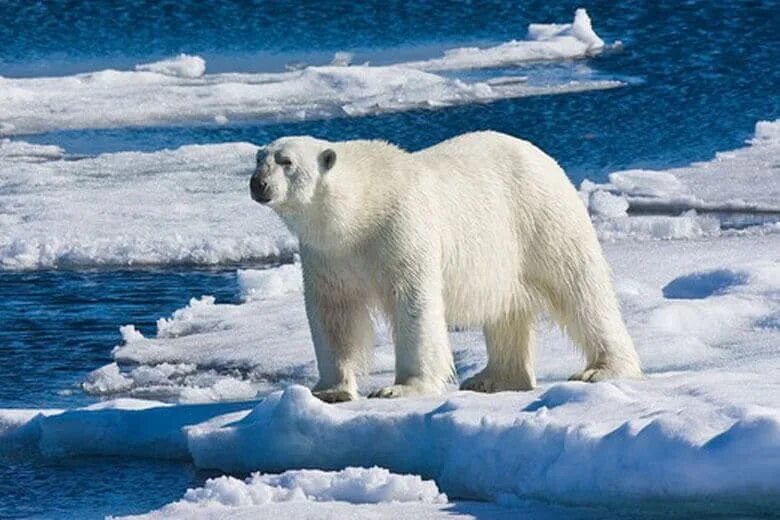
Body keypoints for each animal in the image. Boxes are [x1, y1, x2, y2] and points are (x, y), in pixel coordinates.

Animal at [248, 131, 640, 402]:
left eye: (286, 161)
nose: (258, 184)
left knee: (579, 286)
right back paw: (493, 378)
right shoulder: (329, 254)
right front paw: (329, 390)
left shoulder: (401, 228)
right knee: (507, 309)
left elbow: (413, 302)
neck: (362, 210)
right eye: (258, 158)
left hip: (540, 217)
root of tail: (542, 156)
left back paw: (601, 369)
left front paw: (400, 388)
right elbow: (334, 312)